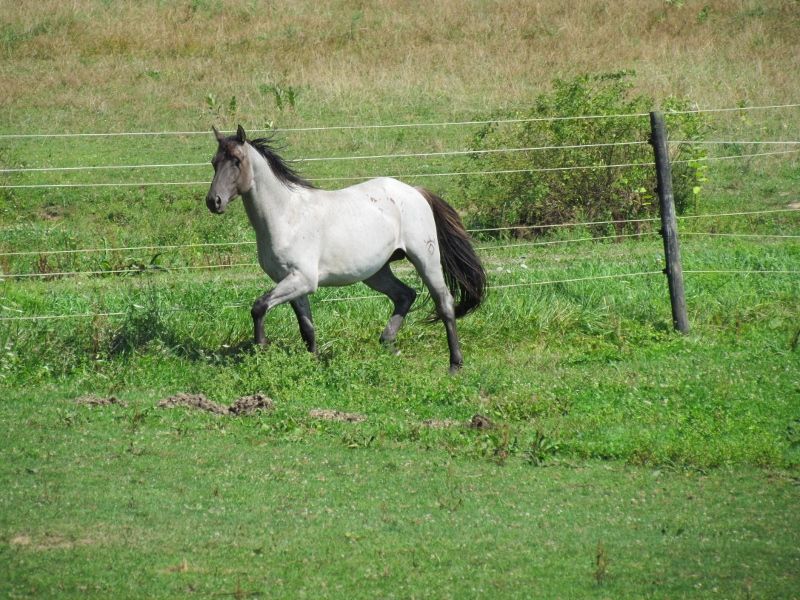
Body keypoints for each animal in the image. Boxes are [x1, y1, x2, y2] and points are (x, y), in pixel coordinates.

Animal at [205, 125, 486, 372]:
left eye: (237, 161)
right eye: (214, 162)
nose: (213, 201)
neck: (287, 216)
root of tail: (415, 191)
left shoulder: (302, 279)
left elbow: (259, 306)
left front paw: (261, 346)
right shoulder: (292, 282)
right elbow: (307, 328)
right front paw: (313, 362)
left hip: (425, 260)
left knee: (444, 303)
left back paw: (454, 365)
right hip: (376, 271)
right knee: (405, 295)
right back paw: (388, 344)